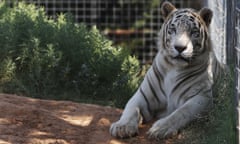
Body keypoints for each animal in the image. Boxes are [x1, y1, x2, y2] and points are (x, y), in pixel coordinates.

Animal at [110, 1, 214, 140]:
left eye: (193, 32)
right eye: (173, 30)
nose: (180, 48)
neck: (175, 69)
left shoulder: (202, 97)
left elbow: (181, 112)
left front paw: (160, 129)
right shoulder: (142, 96)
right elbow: (131, 109)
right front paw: (122, 127)